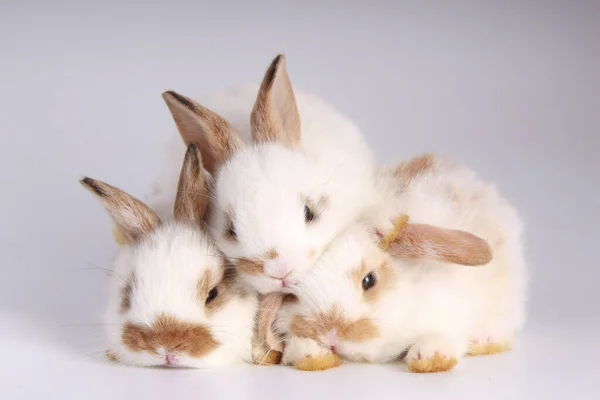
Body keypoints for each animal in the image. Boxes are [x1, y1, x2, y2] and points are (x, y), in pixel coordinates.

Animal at [274, 155, 528, 374]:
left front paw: (430, 356)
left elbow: (443, 335)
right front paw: (311, 352)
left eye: (369, 280)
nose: (331, 336)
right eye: (291, 295)